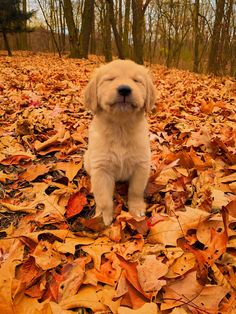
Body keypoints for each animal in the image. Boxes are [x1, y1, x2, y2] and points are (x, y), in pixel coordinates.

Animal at [84, 59, 156, 226]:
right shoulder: (101, 169)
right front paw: (104, 216)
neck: (120, 127)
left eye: (136, 81)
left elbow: (135, 191)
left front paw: (136, 209)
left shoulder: (141, 165)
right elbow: (103, 198)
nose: (124, 89)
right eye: (110, 79)